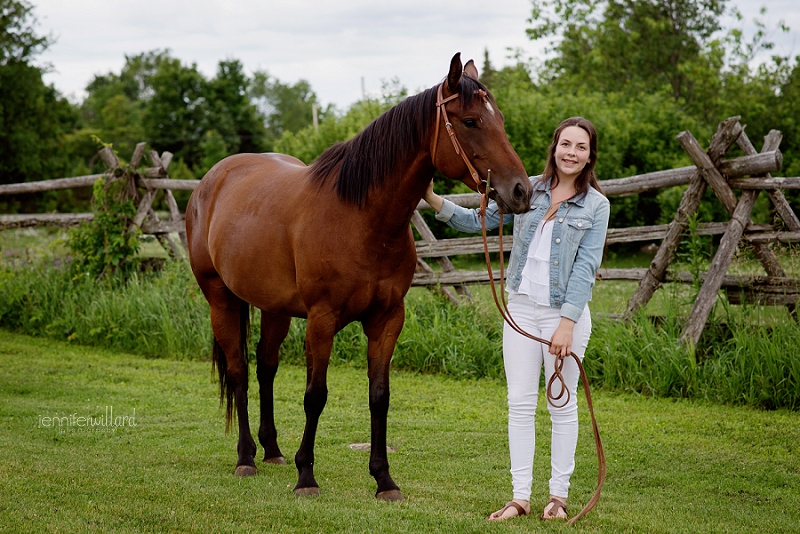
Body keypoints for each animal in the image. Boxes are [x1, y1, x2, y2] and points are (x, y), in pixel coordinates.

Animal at [186, 52, 532, 500]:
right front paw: (306, 476)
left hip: (274, 308)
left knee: (265, 367)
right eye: (471, 121)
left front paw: (384, 479)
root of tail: (211, 181)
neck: (362, 217)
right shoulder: (322, 319)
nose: (521, 191)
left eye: (501, 119)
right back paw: (246, 457)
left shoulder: (387, 319)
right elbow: (315, 395)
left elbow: (379, 396)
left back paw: (272, 450)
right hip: (221, 298)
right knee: (239, 371)